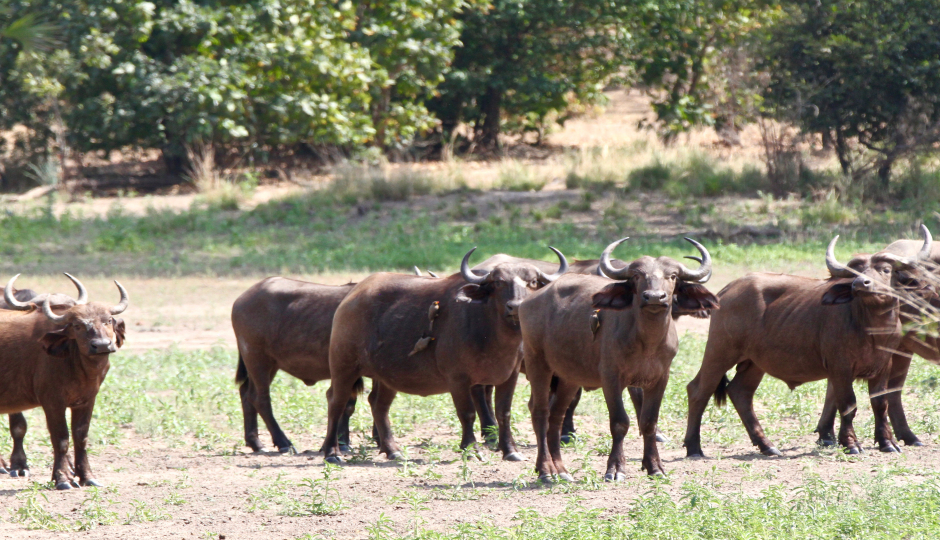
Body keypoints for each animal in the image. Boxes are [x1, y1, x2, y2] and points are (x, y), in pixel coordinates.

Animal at [0, 274, 127, 490]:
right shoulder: (52, 402)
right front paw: (62, 478)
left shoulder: (86, 400)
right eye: (77, 325)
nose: (102, 345)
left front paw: (85, 476)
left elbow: (81, 437)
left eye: (108, 320)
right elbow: (60, 439)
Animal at [516, 237, 716, 480]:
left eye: (673, 276)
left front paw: (655, 467)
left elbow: (649, 422)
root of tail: (529, 301)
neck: (647, 342)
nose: (654, 297)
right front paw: (615, 468)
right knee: (540, 412)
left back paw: (561, 470)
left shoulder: (659, 379)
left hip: (568, 377)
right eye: (637, 276)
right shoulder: (611, 378)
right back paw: (545, 470)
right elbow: (620, 422)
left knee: (556, 415)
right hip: (537, 363)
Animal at [684, 226, 932, 458]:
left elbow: (880, 404)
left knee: (740, 392)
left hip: (754, 362)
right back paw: (694, 447)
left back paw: (767, 446)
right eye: (856, 271)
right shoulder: (840, 368)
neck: (872, 329)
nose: (861, 283)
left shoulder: (884, 365)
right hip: (720, 351)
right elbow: (848, 405)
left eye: (886, 270)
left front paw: (887, 443)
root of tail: (726, 290)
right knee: (698, 390)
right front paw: (851, 444)